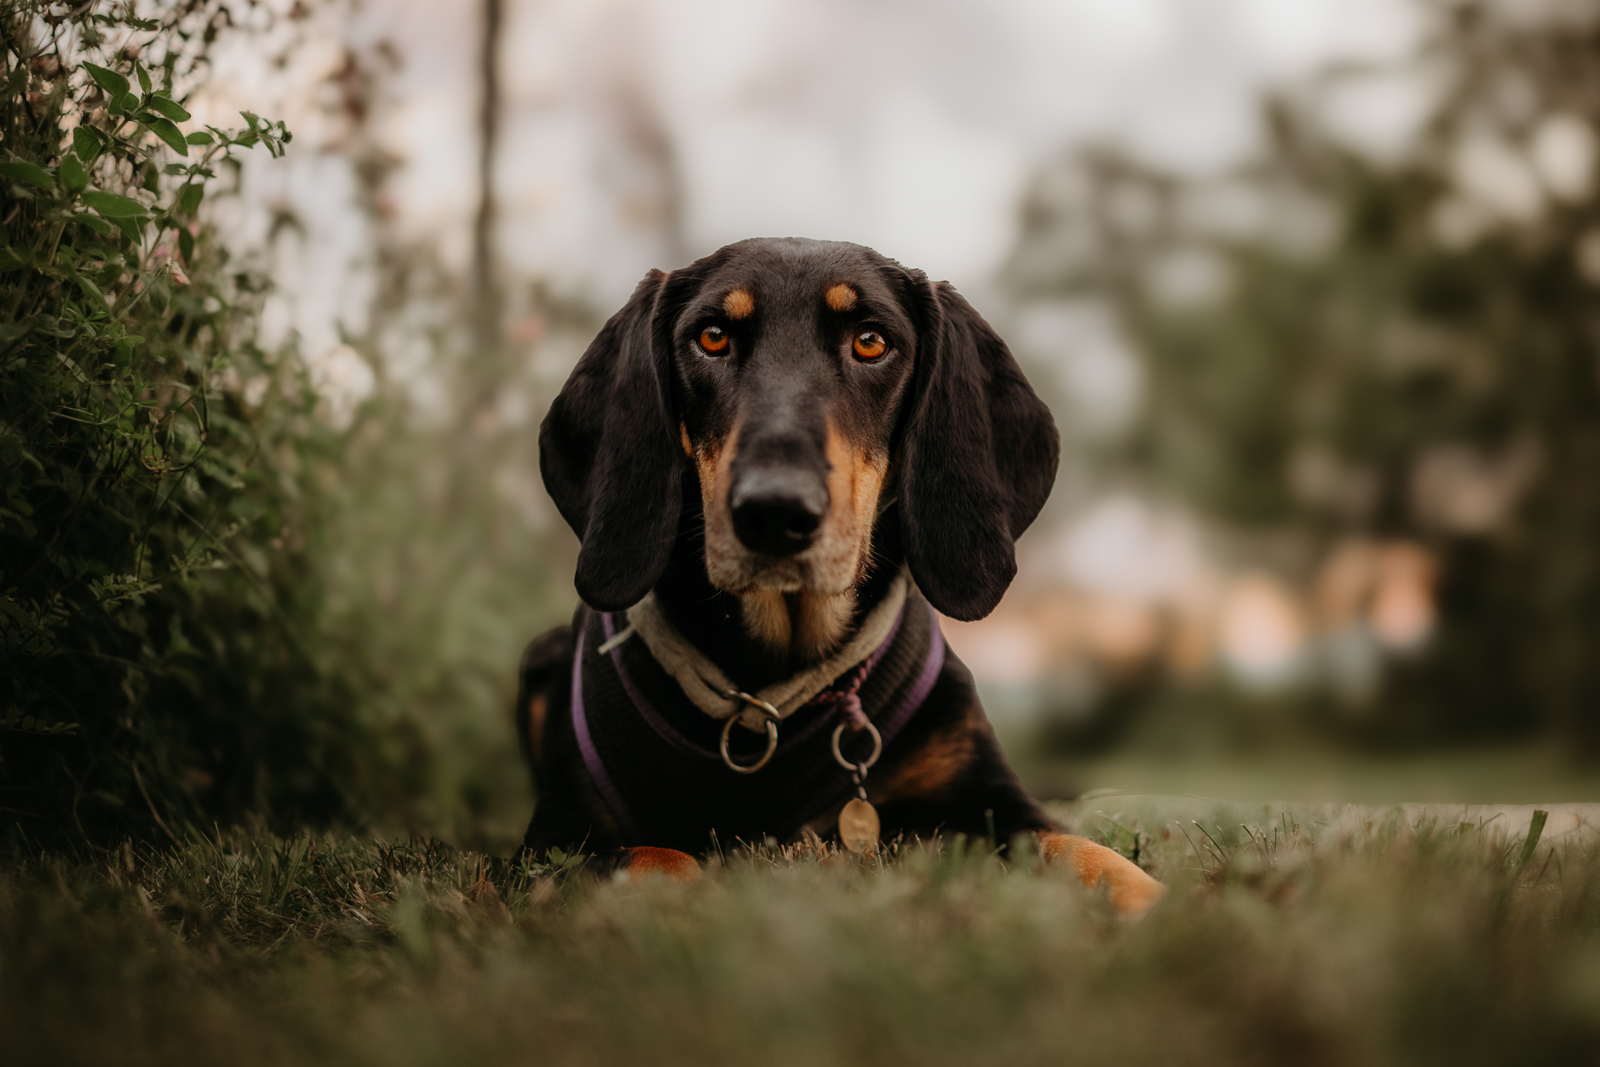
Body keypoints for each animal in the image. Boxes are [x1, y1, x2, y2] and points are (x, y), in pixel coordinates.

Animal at [518, 239, 1158, 921]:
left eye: (871, 342)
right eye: (712, 337)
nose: (775, 512)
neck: (770, 690)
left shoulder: (997, 803)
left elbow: (1083, 849)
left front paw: (1164, 906)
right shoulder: (550, 846)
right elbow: (658, 859)